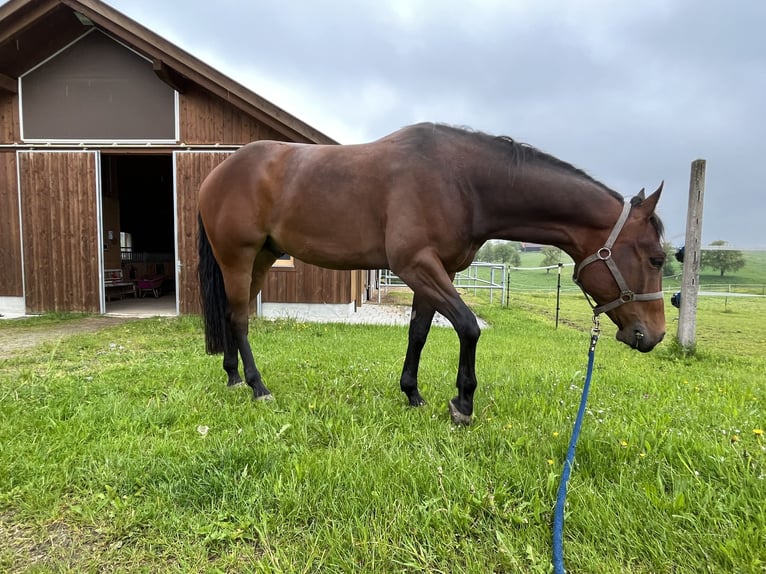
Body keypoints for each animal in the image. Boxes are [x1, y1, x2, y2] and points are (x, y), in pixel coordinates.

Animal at [198, 122, 664, 428]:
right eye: (658, 259)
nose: (654, 335)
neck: (462, 181)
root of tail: (215, 174)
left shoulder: (436, 272)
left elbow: (419, 332)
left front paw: (412, 393)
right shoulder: (416, 265)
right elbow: (468, 326)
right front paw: (462, 404)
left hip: (260, 259)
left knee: (234, 315)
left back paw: (233, 376)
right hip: (238, 257)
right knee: (239, 318)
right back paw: (257, 386)